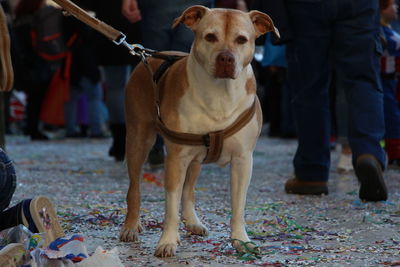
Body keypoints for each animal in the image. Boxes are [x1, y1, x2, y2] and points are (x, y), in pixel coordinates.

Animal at [120, 5, 280, 258]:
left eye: (242, 39)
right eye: (210, 37)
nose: (226, 57)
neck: (220, 94)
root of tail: (148, 55)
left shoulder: (243, 160)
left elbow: (238, 205)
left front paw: (240, 240)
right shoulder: (176, 159)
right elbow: (170, 206)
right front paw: (167, 241)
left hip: (196, 158)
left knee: (189, 190)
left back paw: (193, 221)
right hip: (138, 139)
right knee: (134, 188)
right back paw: (130, 225)